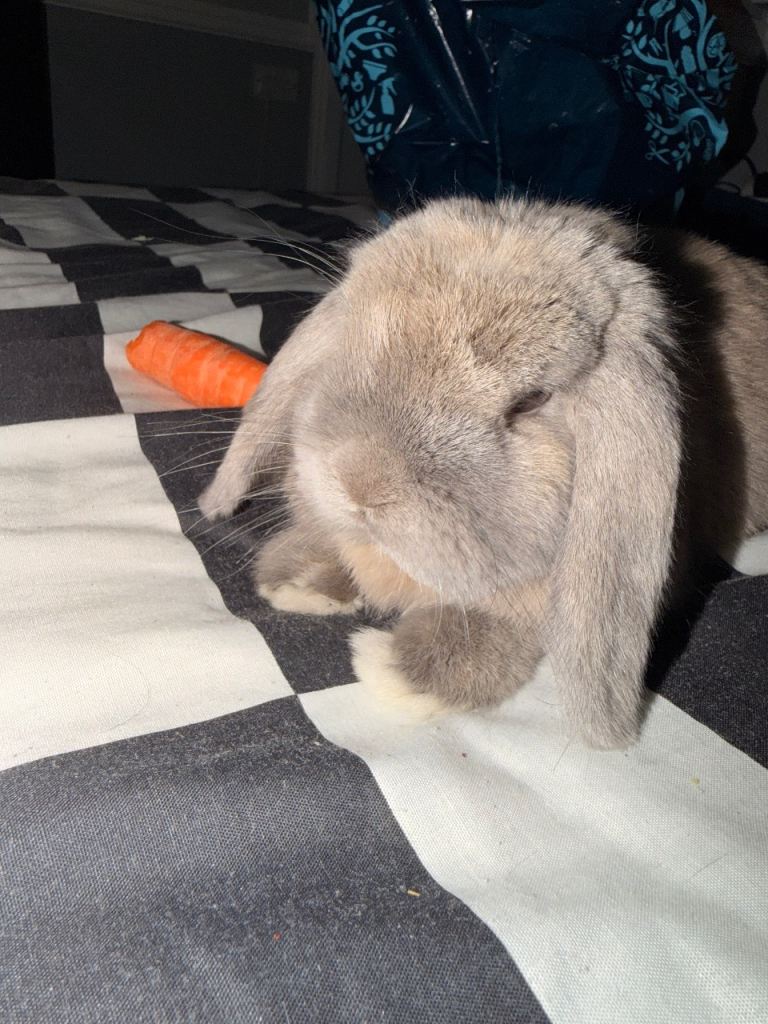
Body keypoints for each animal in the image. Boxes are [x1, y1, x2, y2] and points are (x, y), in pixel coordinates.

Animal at [198, 196, 768, 749]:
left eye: (531, 400)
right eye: (350, 341)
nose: (359, 482)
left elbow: (498, 628)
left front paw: (395, 669)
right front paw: (297, 577)